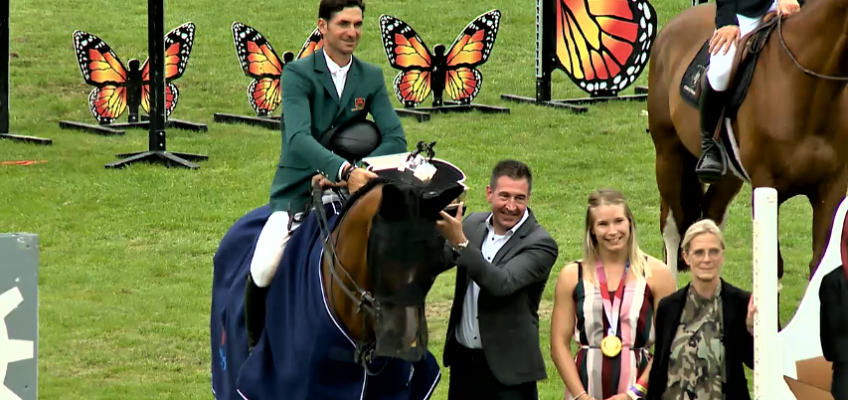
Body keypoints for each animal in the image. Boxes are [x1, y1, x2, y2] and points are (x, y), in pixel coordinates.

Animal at [644, 0, 844, 288]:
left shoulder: (832, 188)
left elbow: (819, 262)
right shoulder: (766, 183)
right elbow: (774, 269)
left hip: (728, 176)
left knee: (711, 219)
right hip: (669, 155)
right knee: (671, 227)